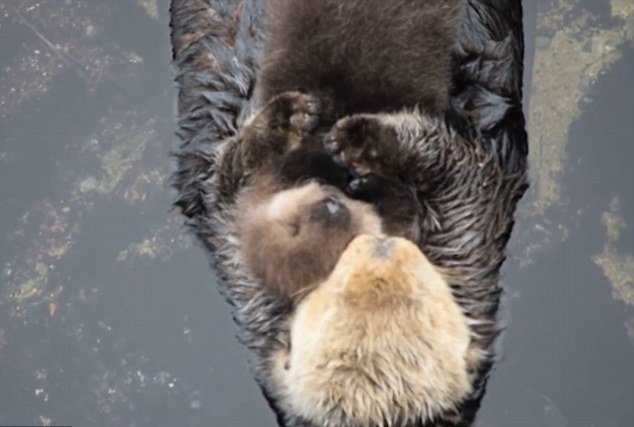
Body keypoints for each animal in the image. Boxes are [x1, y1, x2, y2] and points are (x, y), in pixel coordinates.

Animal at [169, 0, 528, 426]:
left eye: (419, 299)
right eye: (334, 299)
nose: (381, 249)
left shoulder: (466, 229)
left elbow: (447, 161)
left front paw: (362, 139)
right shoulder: (243, 261)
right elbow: (224, 178)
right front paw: (289, 121)